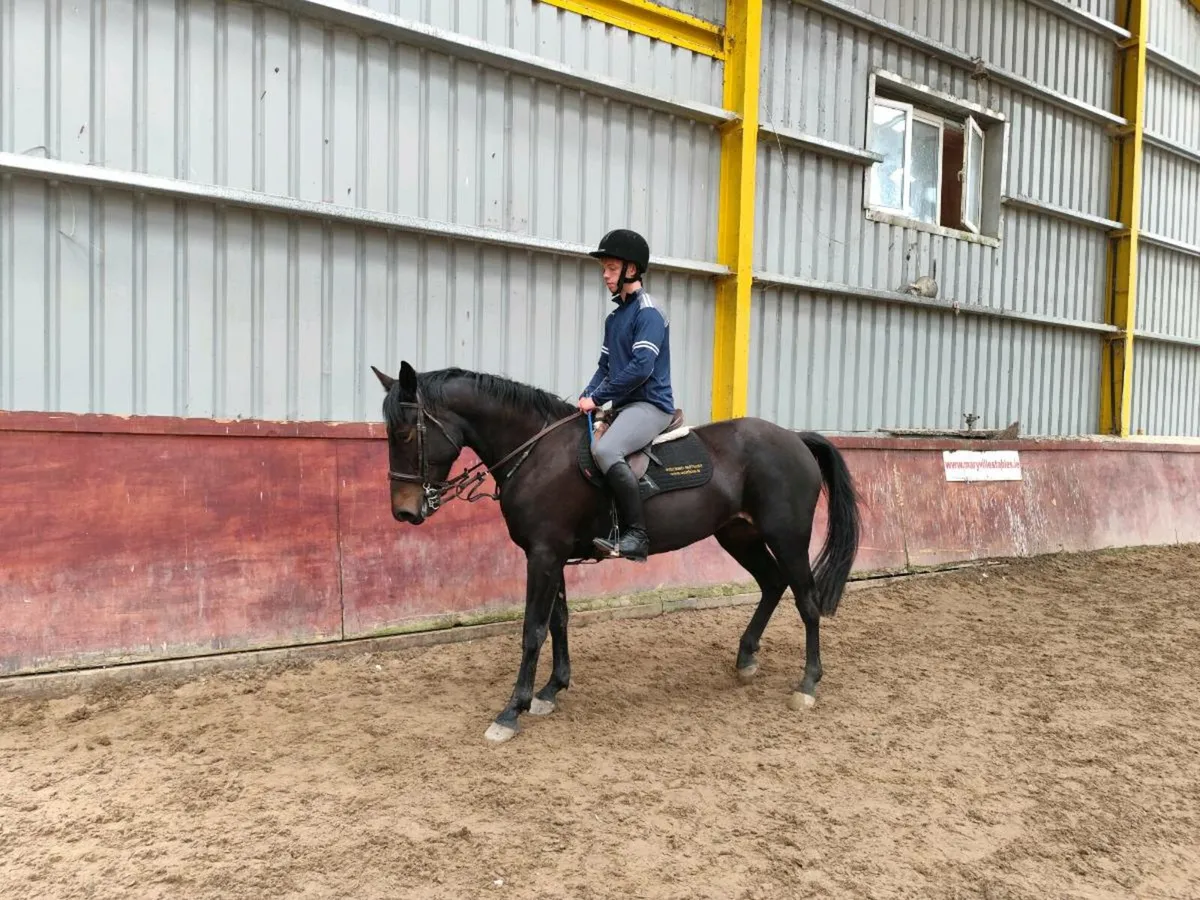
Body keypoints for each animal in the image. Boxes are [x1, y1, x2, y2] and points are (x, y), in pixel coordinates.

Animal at [372, 361, 862, 744]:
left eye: (404, 433)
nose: (404, 511)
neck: (536, 452)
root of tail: (795, 439)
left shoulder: (543, 555)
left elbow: (532, 630)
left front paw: (512, 710)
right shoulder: (551, 553)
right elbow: (559, 620)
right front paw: (551, 690)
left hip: (788, 536)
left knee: (806, 600)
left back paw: (808, 684)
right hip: (738, 535)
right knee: (772, 584)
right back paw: (746, 659)